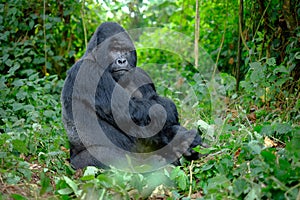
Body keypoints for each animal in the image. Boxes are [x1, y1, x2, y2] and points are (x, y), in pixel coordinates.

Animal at [60, 22, 203, 172]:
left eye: (126, 50)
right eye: (114, 49)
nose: (122, 60)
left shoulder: (142, 75)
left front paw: (183, 136)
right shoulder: (88, 71)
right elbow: (132, 112)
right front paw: (171, 109)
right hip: (78, 164)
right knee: (108, 156)